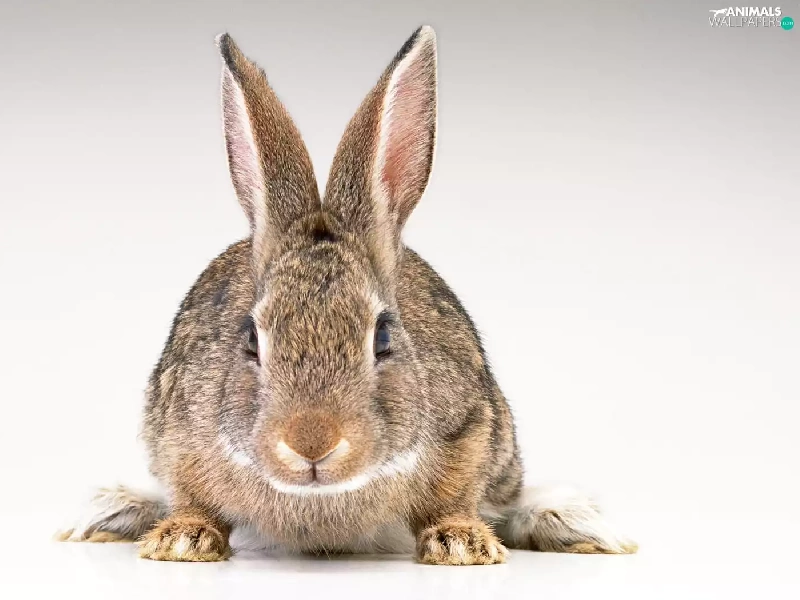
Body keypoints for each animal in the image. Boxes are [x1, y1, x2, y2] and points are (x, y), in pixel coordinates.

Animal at [57, 26, 637, 565]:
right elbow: (192, 495)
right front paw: (182, 540)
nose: (312, 443)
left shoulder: (471, 430)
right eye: (251, 339)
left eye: (382, 337)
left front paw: (462, 544)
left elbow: (454, 497)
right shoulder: (179, 435)